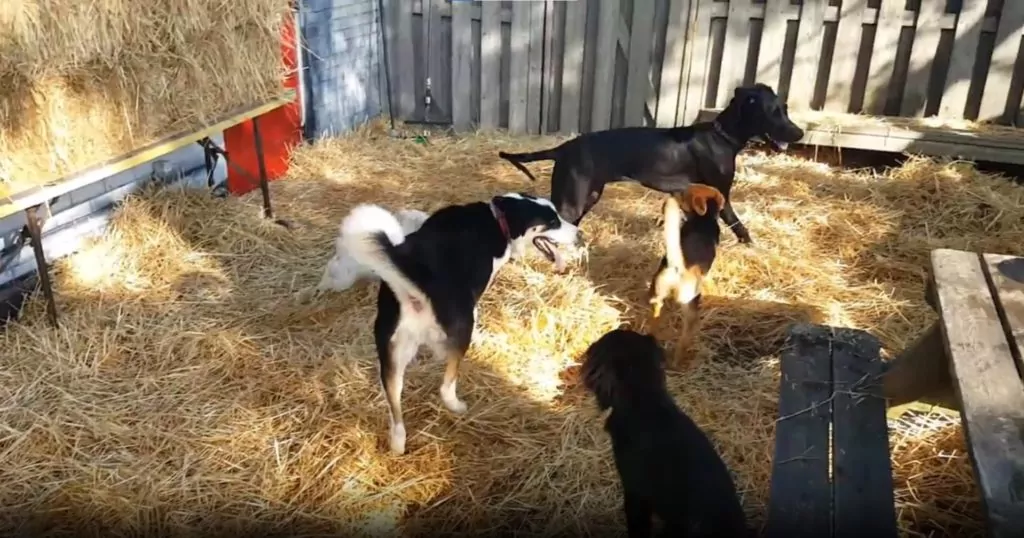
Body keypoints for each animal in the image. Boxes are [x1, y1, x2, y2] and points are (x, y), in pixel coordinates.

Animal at [342, 192, 581, 452]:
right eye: (553, 221)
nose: (580, 234)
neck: (498, 217)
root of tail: (415, 279)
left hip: (392, 355)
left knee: (395, 407)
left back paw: (398, 444)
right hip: (461, 328)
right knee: (446, 387)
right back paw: (456, 405)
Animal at [499, 84, 802, 242]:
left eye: (785, 109)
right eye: (773, 112)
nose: (800, 133)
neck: (722, 136)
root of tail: (563, 149)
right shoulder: (722, 197)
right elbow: (739, 227)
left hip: (587, 197)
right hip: (573, 201)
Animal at [647, 183, 729, 364]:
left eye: (683, 193)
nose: (672, 192)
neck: (703, 219)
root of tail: (678, 267)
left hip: (657, 296)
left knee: (655, 317)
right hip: (690, 308)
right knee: (683, 342)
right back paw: (677, 362)